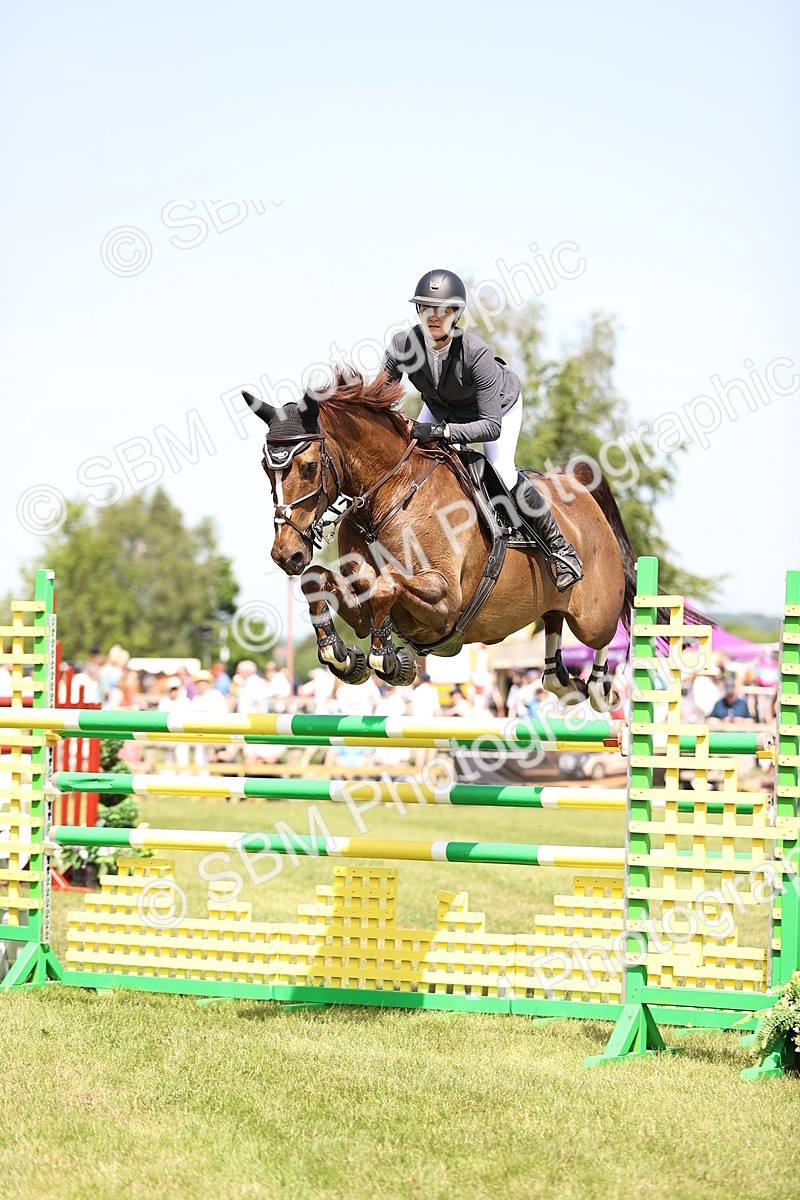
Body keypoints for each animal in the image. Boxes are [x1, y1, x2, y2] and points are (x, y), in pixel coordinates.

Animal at [244, 369, 638, 711]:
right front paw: (340, 655)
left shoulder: (446, 600)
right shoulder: (360, 606)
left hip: (592, 616)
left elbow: (387, 585)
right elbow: (319, 581)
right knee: (554, 625)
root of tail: (579, 484)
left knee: (607, 631)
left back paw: (600, 686)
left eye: (309, 466)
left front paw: (387, 659)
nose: (286, 554)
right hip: (554, 601)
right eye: (265, 468)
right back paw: (565, 683)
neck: (391, 494)